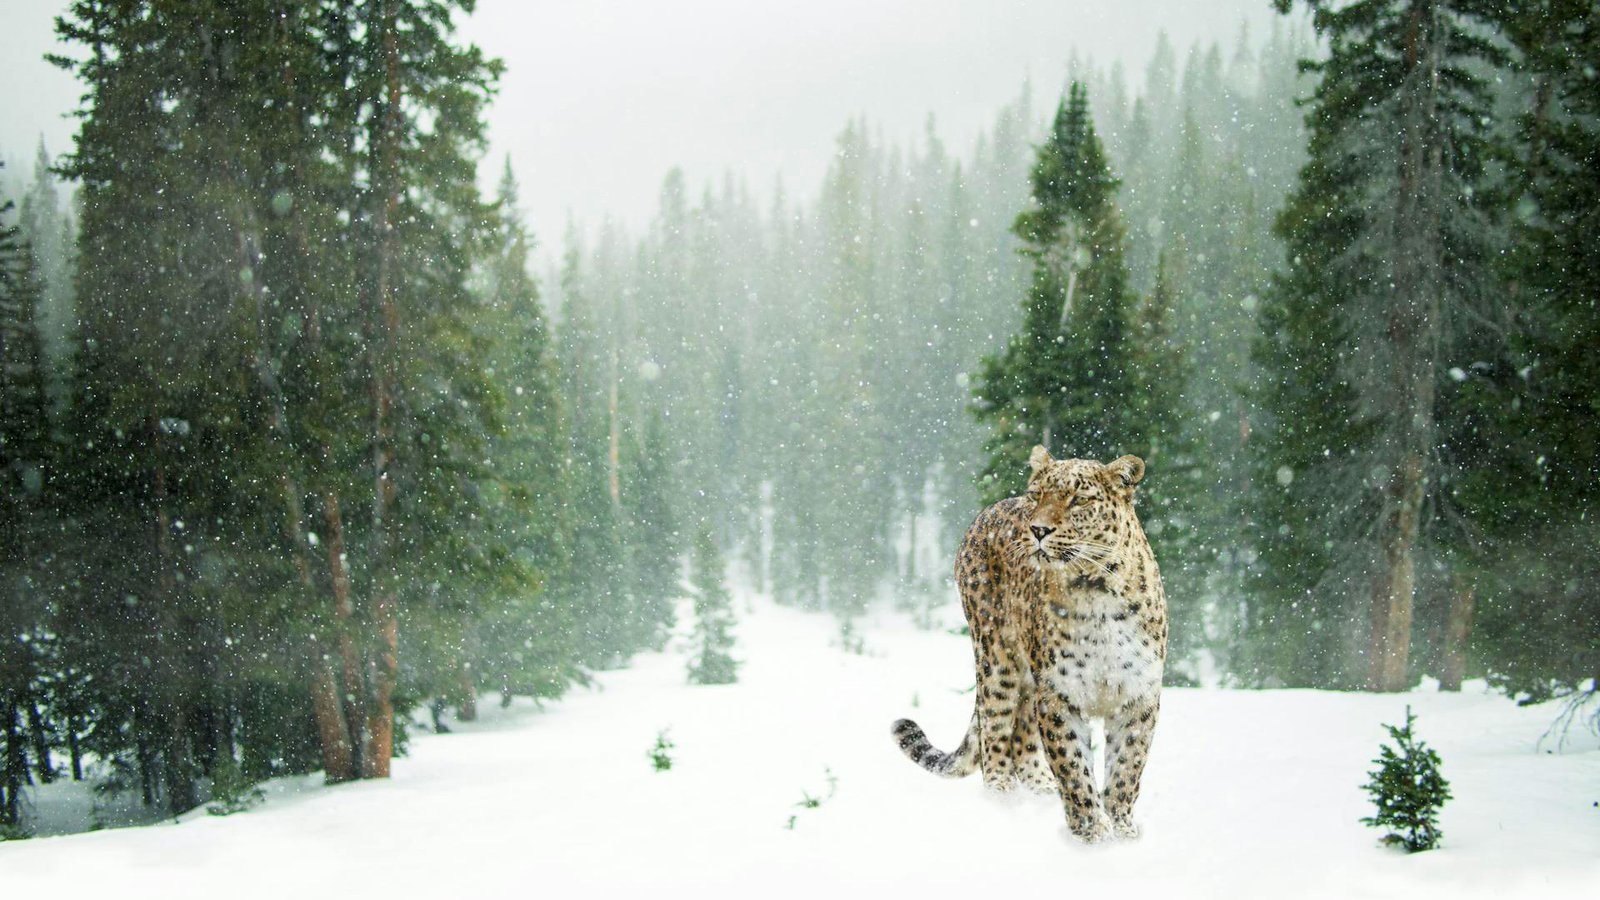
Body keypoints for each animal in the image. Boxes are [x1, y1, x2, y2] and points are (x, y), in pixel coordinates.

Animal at [896, 445, 1171, 839]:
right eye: (1036, 495)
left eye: (1079, 499)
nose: (1038, 529)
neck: (1096, 591)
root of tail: (986, 512)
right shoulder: (1059, 695)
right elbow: (1074, 769)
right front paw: (1092, 833)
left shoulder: (1137, 695)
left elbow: (1126, 769)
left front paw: (1122, 831)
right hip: (996, 659)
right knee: (994, 729)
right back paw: (1003, 797)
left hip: (1028, 679)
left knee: (1022, 735)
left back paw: (1039, 789)